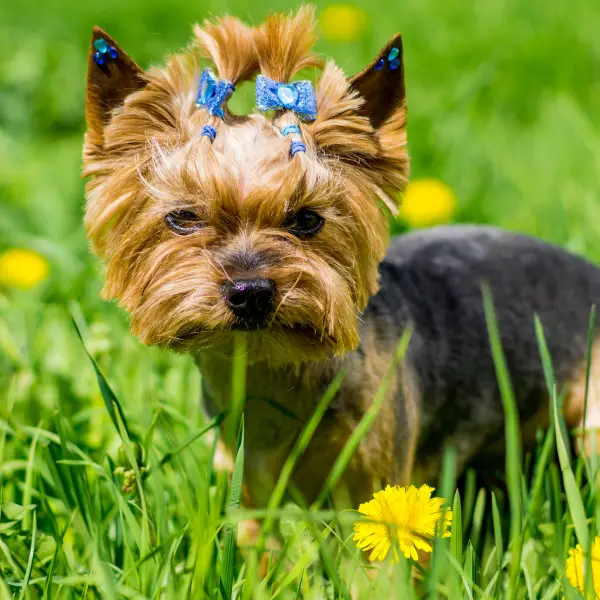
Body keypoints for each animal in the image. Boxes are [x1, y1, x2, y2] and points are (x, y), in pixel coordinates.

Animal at [82, 4, 600, 512]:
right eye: (184, 217)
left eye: (307, 219)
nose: (250, 292)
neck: (269, 369)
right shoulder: (246, 493)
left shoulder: (375, 481)